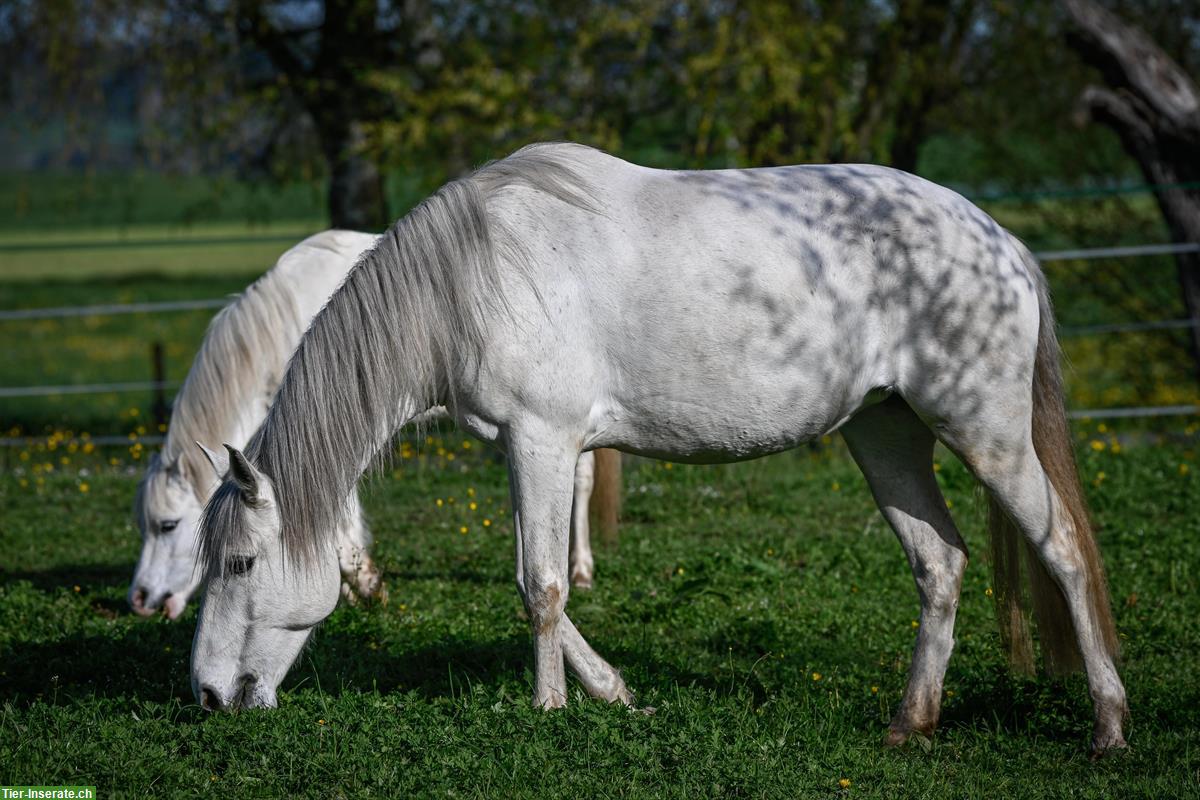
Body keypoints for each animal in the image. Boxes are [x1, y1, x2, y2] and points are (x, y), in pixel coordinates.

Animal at [187, 145, 1123, 758]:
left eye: (238, 565)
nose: (206, 695)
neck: (474, 280)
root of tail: (998, 240)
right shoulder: (526, 449)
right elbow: (537, 584)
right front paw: (612, 693)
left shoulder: (542, 439)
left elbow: (541, 585)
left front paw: (550, 710)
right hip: (885, 432)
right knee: (940, 564)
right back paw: (909, 725)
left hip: (985, 431)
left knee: (1065, 550)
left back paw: (1108, 725)